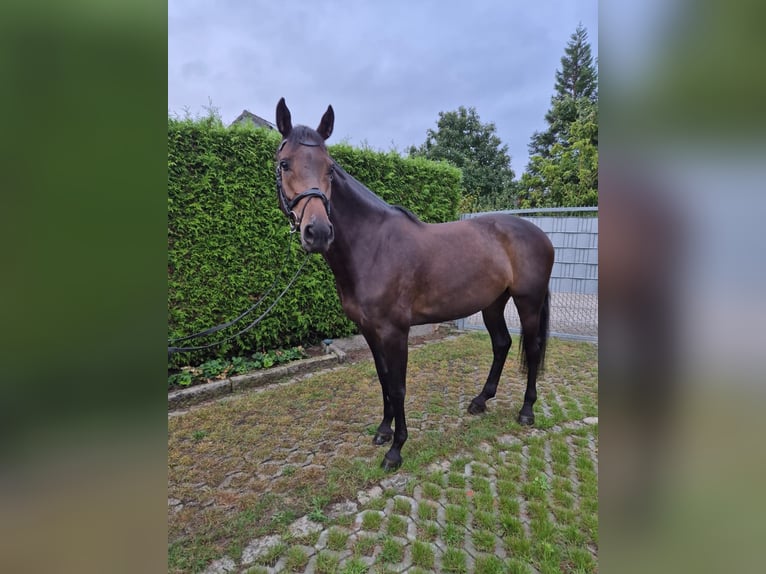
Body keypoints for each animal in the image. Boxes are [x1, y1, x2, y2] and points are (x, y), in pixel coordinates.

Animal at [274, 98, 554, 471]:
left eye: (330, 168)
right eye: (285, 164)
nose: (318, 231)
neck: (372, 245)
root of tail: (540, 234)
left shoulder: (395, 331)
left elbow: (399, 386)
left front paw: (396, 449)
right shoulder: (369, 330)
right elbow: (383, 379)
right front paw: (383, 431)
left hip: (528, 301)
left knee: (532, 349)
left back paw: (526, 411)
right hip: (493, 303)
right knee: (502, 344)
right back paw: (480, 401)